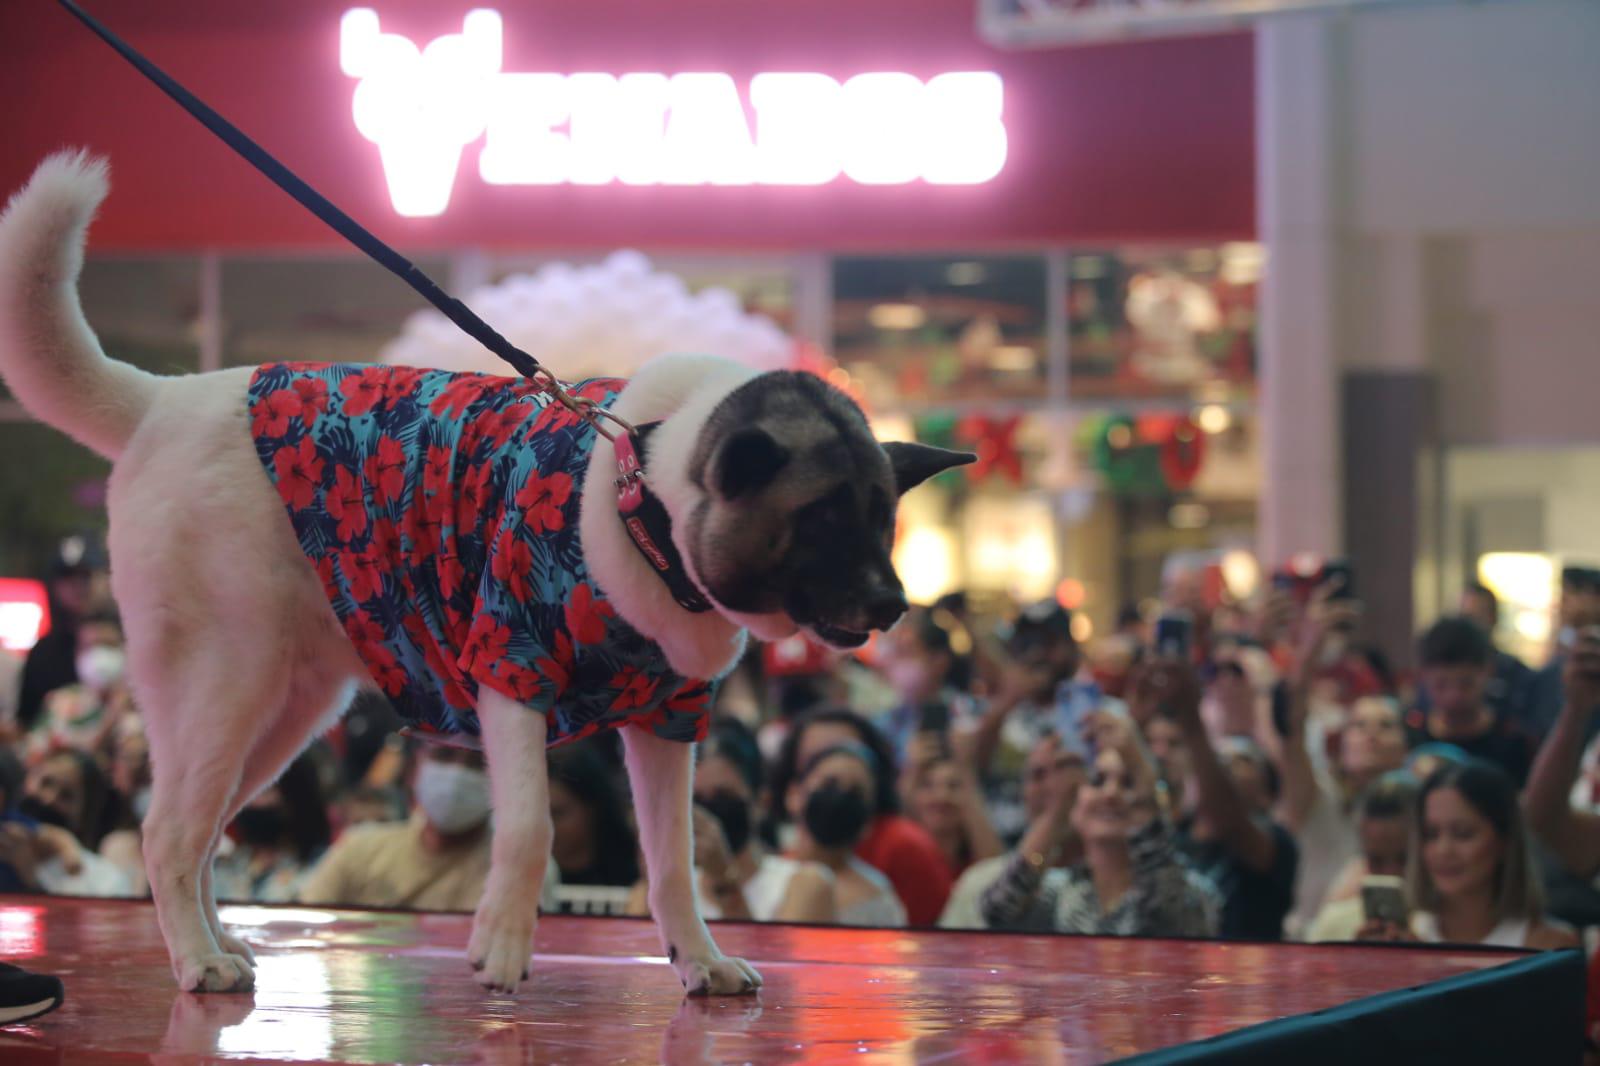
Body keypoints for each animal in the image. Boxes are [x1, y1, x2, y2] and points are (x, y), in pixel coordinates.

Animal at [0, 153, 972, 992]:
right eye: (822, 519)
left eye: (883, 520)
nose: (894, 605)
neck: (646, 493)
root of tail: (162, 398)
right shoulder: (512, 671)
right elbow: (531, 828)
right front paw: (502, 944)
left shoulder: (668, 724)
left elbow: (673, 864)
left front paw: (697, 960)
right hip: (229, 681)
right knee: (169, 830)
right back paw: (196, 959)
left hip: (283, 709)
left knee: (197, 833)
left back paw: (213, 939)